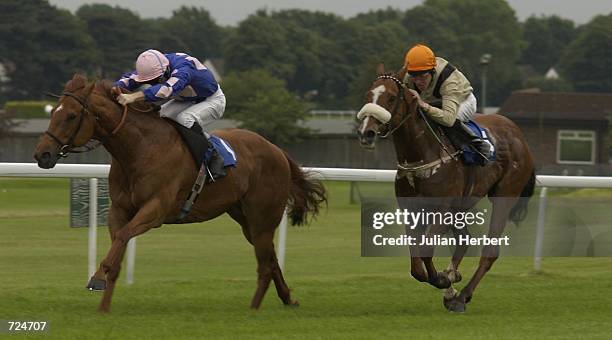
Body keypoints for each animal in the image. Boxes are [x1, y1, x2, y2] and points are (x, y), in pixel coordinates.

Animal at [33, 73, 328, 310]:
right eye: (53, 112)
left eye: (71, 116)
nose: (42, 154)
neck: (140, 149)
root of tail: (278, 150)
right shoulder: (119, 209)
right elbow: (118, 247)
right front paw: (103, 306)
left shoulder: (156, 209)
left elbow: (124, 237)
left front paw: (96, 279)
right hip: (246, 218)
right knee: (271, 258)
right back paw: (287, 299)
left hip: (262, 215)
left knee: (265, 265)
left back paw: (253, 309)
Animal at [356, 65, 532, 312]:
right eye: (368, 95)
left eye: (390, 97)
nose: (367, 133)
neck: (421, 154)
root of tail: (519, 135)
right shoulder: (412, 211)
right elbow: (416, 264)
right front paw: (445, 279)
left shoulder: (442, 210)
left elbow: (427, 249)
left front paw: (443, 280)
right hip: (460, 207)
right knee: (464, 240)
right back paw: (452, 284)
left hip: (505, 195)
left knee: (489, 251)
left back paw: (462, 295)